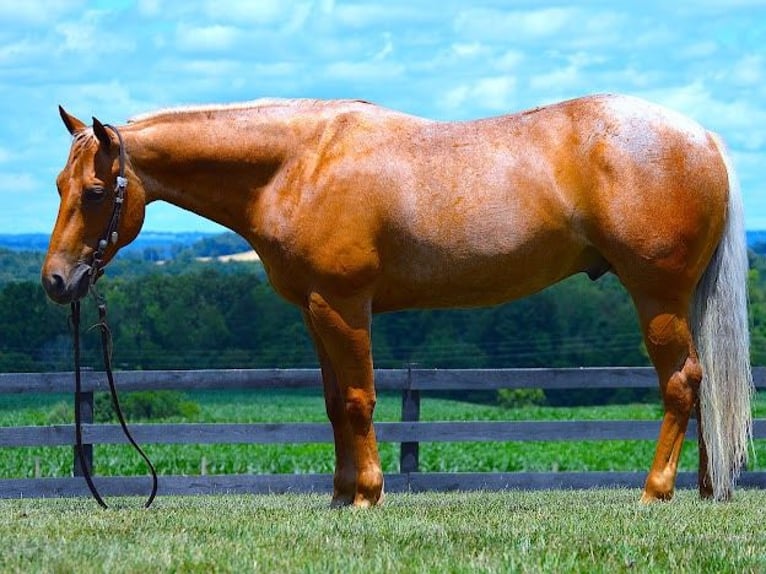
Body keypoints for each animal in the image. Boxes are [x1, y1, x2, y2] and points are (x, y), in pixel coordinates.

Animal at [39, 93, 752, 508]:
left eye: (96, 193)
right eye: (58, 186)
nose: (55, 281)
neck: (298, 165)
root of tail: (704, 138)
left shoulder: (345, 305)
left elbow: (359, 400)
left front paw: (368, 496)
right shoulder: (315, 311)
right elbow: (333, 405)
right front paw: (339, 497)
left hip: (656, 295)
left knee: (682, 383)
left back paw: (655, 493)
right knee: (702, 386)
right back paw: (705, 490)